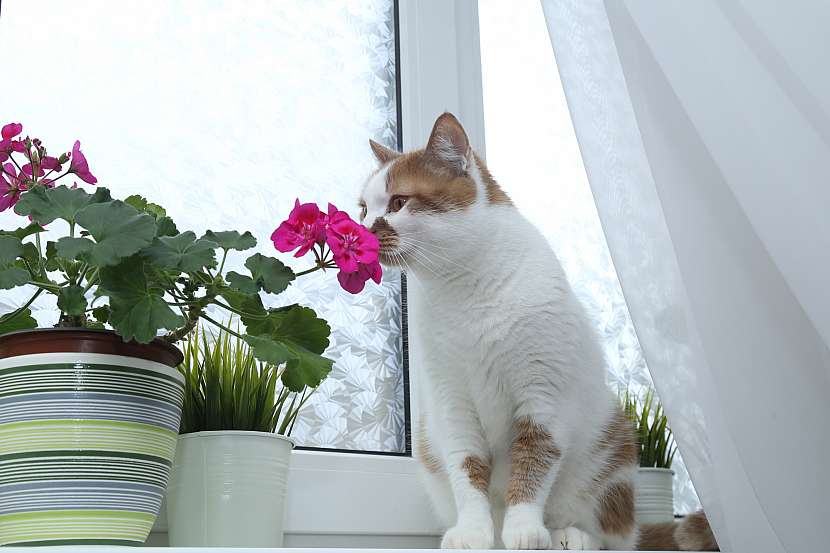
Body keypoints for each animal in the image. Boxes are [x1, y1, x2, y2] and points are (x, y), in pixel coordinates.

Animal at [360, 111, 720, 548]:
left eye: (398, 203)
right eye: (363, 209)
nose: (362, 229)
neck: (463, 289)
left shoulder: (543, 396)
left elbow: (534, 464)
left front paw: (525, 529)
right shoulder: (451, 402)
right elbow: (466, 468)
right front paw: (474, 532)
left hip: (615, 441)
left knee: (610, 535)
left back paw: (569, 535)